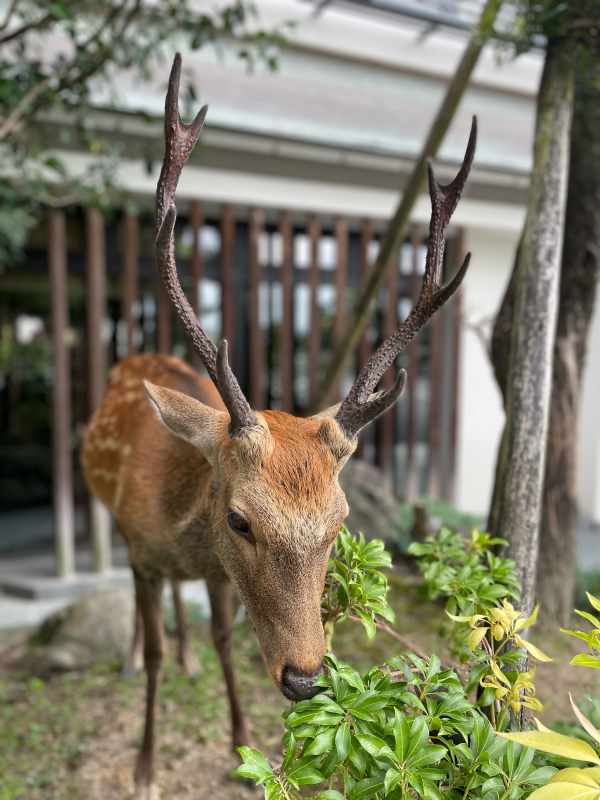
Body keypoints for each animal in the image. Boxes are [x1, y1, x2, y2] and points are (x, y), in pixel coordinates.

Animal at [81, 54, 474, 800]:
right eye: (239, 518)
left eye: (340, 521)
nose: (304, 678)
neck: (176, 520)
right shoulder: (143, 551)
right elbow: (153, 646)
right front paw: (145, 766)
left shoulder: (210, 572)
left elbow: (224, 641)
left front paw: (239, 741)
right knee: (140, 618)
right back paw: (132, 659)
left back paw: (189, 658)